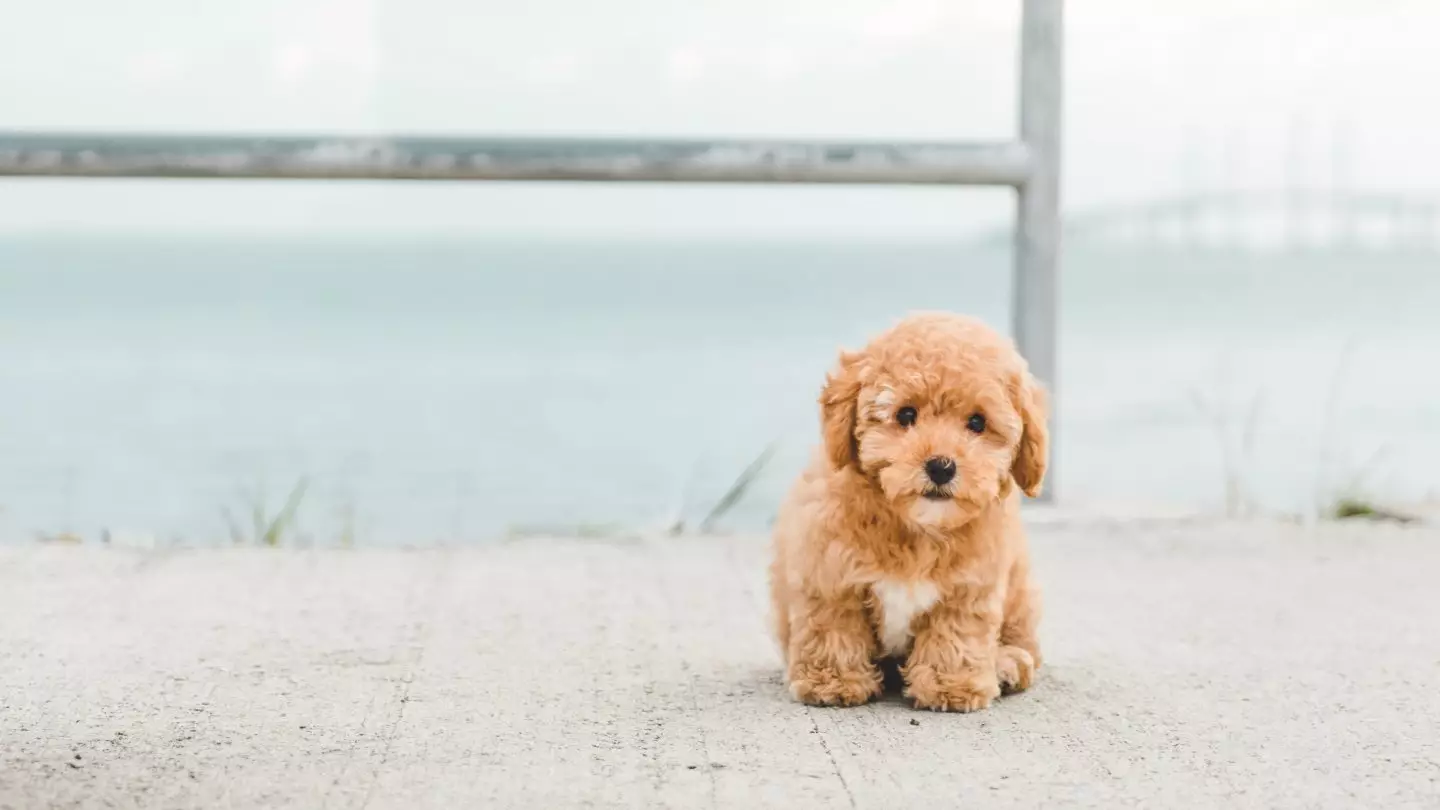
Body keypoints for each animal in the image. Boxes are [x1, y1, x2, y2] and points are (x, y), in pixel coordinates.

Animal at [771, 312, 1054, 709]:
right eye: (906, 415)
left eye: (977, 423)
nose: (941, 466)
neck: (916, 528)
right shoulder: (827, 573)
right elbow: (833, 625)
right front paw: (833, 682)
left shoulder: (971, 585)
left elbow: (957, 631)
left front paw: (950, 685)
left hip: (1021, 593)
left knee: (1023, 642)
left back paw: (1008, 664)